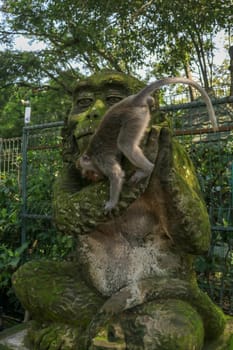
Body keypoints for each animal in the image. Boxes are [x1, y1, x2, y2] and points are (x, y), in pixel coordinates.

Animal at [78, 77, 217, 212]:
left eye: (88, 170)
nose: (88, 176)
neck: (91, 154)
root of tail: (133, 101)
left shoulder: (102, 159)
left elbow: (117, 175)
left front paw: (111, 203)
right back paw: (151, 102)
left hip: (134, 118)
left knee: (125, 145)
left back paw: (147, 169)